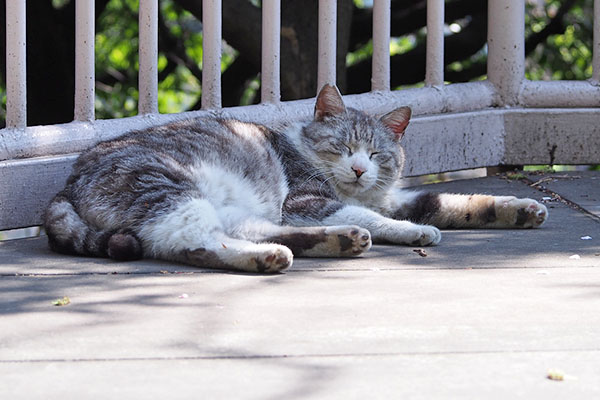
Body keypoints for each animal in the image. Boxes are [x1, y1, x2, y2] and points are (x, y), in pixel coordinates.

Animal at [43, 84, 548, 272]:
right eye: (343, 147)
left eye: (376, 154)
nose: (360, 169)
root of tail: (65, 185)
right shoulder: (306, 201)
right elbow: (381, 216)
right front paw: (412, 231)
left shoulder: (389, 197)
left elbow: (453, 202)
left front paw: (520, 210)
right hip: (169, 188)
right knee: (187, 242)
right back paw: (268, 257)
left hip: (236, 209)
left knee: (253, 230)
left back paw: (338, 239)